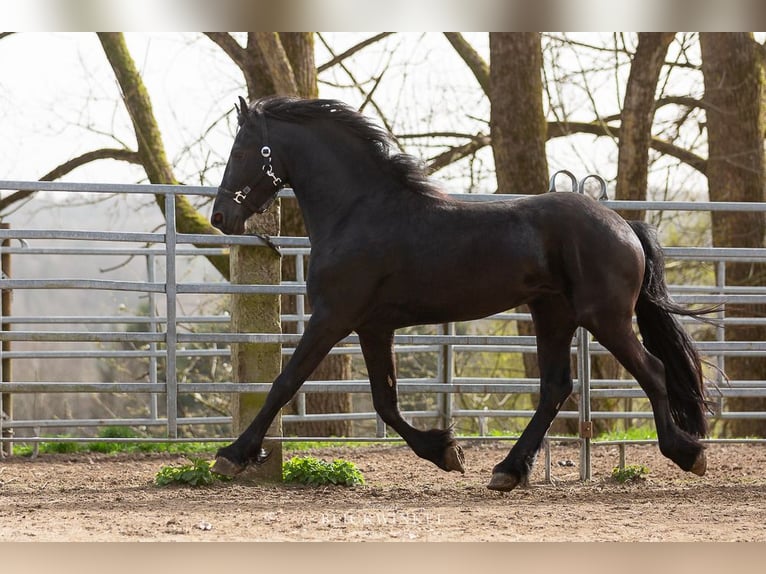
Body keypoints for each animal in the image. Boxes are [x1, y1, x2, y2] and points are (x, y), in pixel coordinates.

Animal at [212, 97, 712, 492]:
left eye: (240, 150)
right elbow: (385, 402)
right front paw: (444, 451)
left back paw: (688, 453)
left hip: (604, 316)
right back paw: (509, 470)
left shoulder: (332, 317)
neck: (359, 212)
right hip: (553, 315)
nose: (220, 217)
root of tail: (623, 224)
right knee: (556, 387)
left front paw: (232, 456)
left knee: (653, 371)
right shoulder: (373, 328)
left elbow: (284, 383)